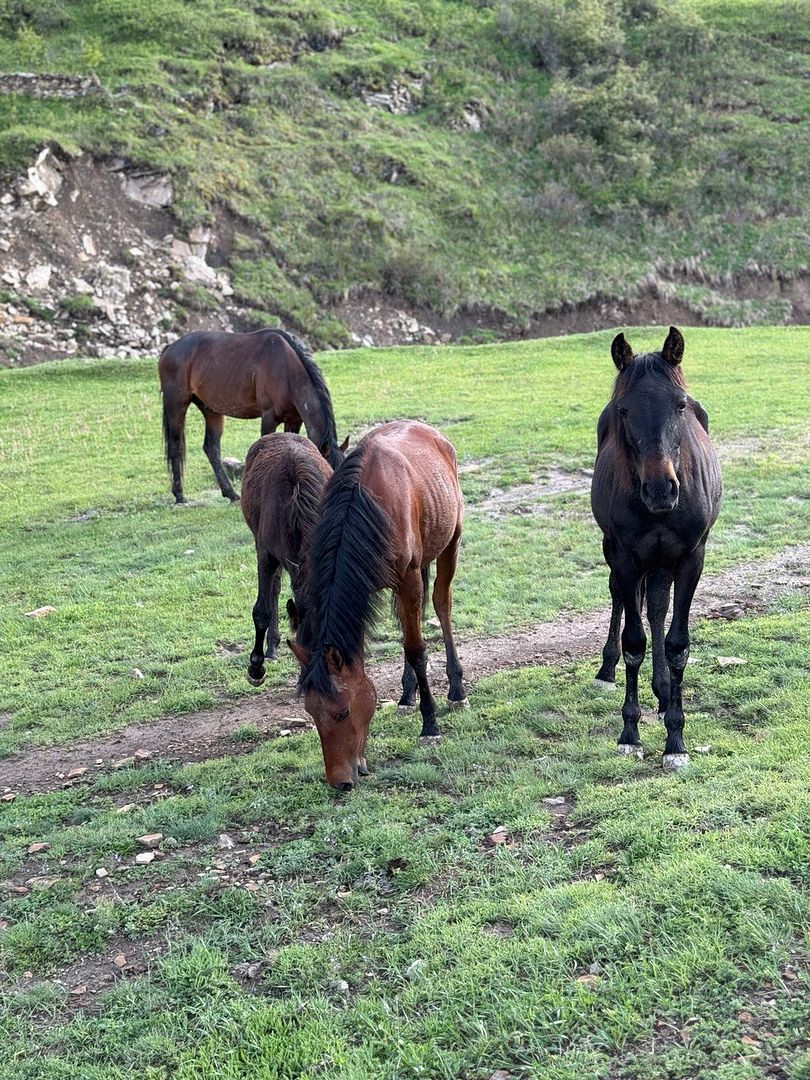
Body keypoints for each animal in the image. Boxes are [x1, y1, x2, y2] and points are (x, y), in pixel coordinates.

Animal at [158, 326, 345, 503]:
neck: (287, 370)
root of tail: (170, 348)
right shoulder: (269, 418)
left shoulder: (294, 420)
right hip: (176, 405)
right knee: (175, 445)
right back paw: (179, 495)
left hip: (210, 409)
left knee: (211, 448)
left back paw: (230, 494)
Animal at [239, 429, 334, 682]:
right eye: (304, 644)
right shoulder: (266, 554)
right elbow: (262, 610)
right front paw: (256, 666)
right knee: (274, 590)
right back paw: (270, 648)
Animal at [289, 421, 466, 794]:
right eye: (311, 713)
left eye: (342, 712)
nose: (339, 781)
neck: (364, 502)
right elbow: (405, 641)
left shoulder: (407, 578)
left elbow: (416, 649)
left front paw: (430, 725)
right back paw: (406, 696)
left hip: (450, 542)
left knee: (441, 604)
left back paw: (456, 690)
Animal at [591, 324, 721, 773]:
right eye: (624, 410)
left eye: (680, 405)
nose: (661, 489)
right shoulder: (626, 558)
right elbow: (634, 641)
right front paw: (630, 734)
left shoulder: (691, 559)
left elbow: (676, 644)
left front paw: (675, 740)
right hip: (616, 553)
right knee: (622, 599)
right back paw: (606, 669)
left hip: (664, 562)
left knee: (658, 607)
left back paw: (663, 692)